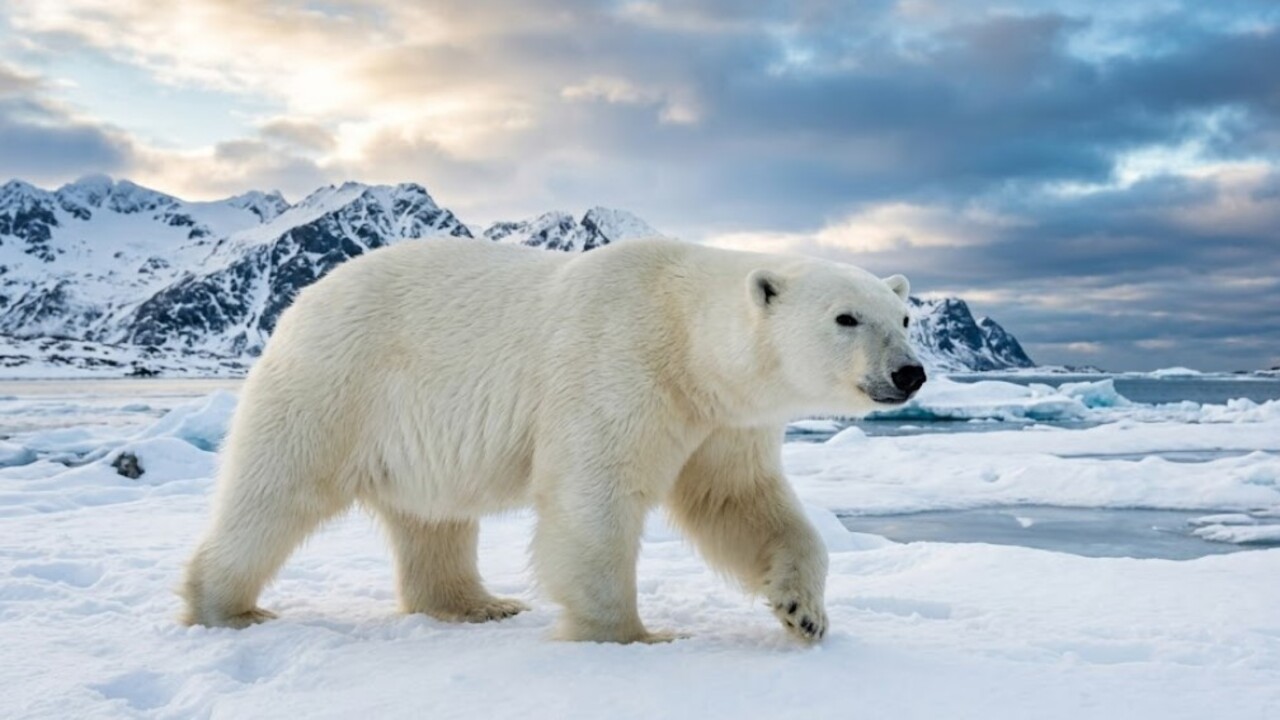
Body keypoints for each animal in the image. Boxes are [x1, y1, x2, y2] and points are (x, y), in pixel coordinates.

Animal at [180, 236, 925, 644]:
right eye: (846, 317)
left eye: (904, 315)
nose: (909, 372)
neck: (685, 337)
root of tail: (302, 302)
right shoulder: (618, 364)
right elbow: (595, 497)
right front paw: (630, 633)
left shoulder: (721, 420)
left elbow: (739, 501)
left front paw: (803, 612)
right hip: (341, 384)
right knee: (276, 492)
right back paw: (226, 607)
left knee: (434, 519)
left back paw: (477, 604)